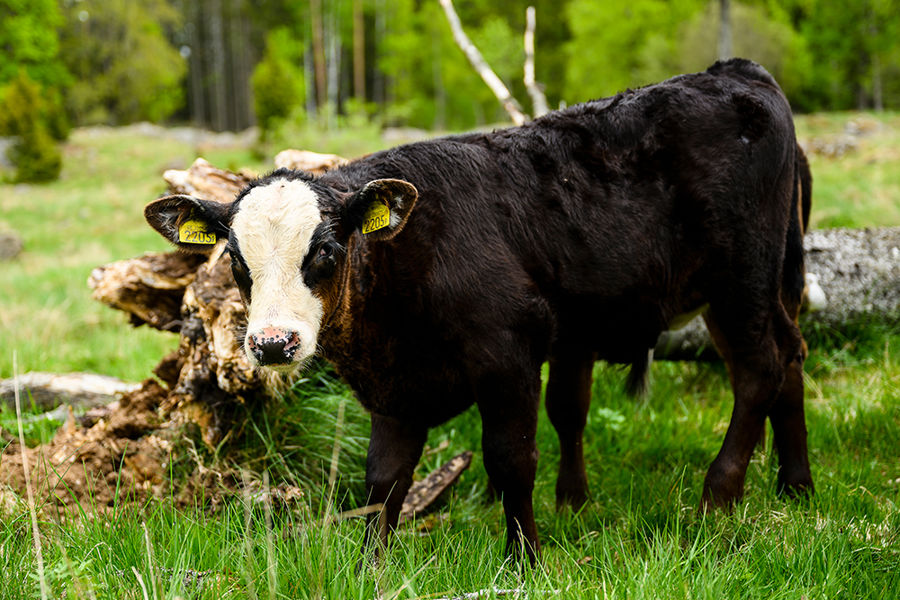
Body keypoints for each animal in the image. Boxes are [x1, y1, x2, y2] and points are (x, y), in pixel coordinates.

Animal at [145, 59, 814, 562]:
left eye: (327, 251)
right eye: (235, 259)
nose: (272, 343)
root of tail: (738, 70)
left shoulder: (507, 354)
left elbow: (511, 457)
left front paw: (525, 558)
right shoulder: (396, 389)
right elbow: (384, 477)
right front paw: (369, 564)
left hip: (742, 278)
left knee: (760, 369)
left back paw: (717, 498)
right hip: (762, 285)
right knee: (791, 358)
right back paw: (796, 487)